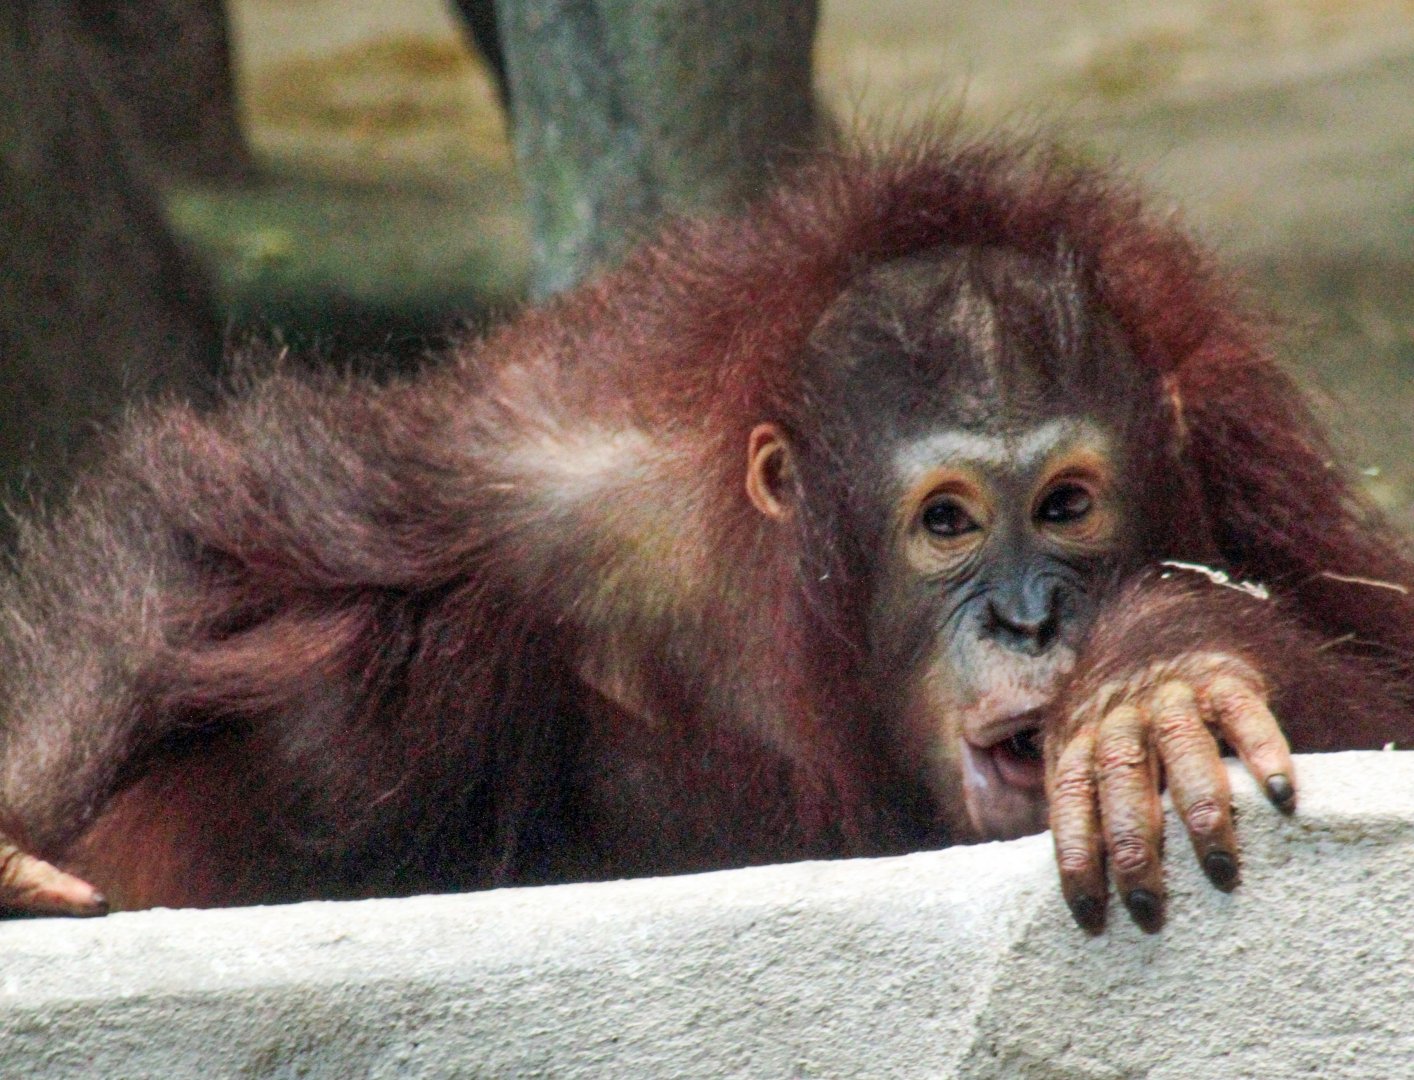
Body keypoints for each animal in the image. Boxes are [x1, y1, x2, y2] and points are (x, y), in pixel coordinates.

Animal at [0, 134, 1410, 932]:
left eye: (1065, 504)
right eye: (946, 521)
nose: (1025, 615)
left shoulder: (1234, 446)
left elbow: (1380, 667)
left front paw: (1157, 679)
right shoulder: (541, 483)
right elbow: (226, 548)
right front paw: (16, 841)